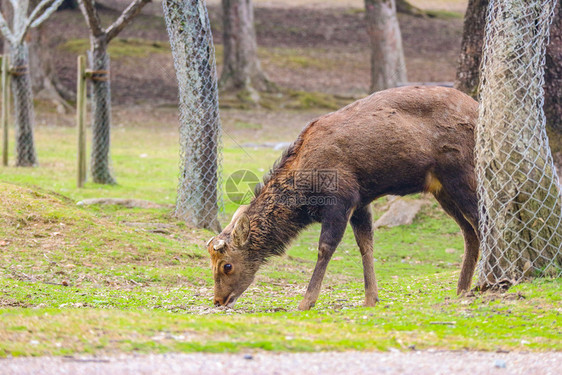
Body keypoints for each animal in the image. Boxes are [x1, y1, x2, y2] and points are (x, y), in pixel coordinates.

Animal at [206, 86, 476, 312]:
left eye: (226, 265)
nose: (218, 300)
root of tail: (475, 108)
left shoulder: (340, 200)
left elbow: (325, 247)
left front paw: (306, 302)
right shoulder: (362, 202)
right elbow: (366, 244)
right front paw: (371, 299)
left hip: (462, 175)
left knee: (481, 222)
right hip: (441, 190)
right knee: (469, 232)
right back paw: (462, 289)